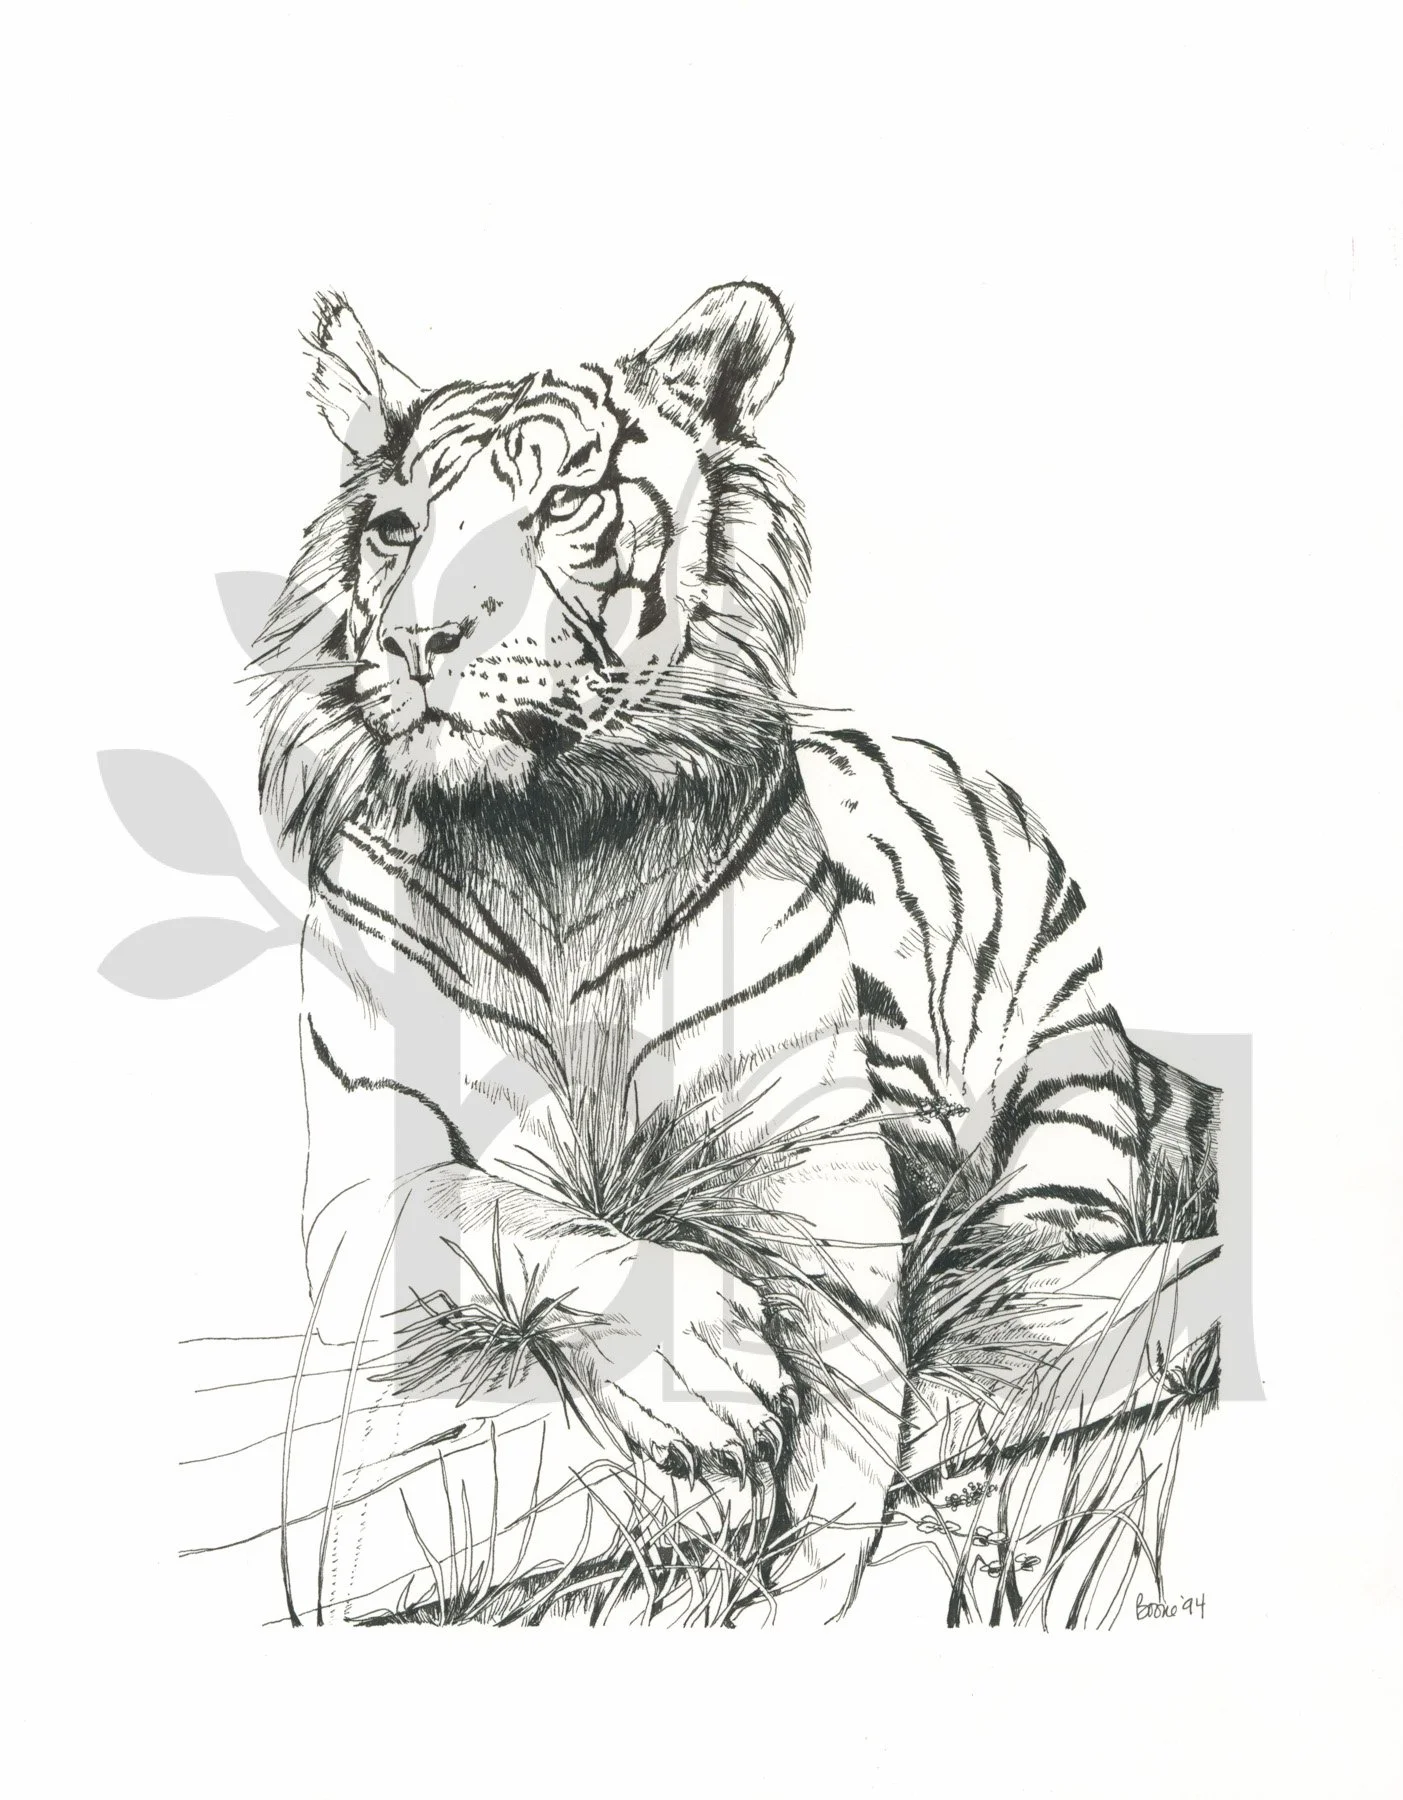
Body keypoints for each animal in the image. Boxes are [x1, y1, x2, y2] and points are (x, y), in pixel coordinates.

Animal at [252, 281, 1217, 1623]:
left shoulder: (813, 1179)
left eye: (561, 503)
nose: (416, 639)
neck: (553, 838)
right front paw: (704, 1376)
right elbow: (498, 1210)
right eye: (396, 526)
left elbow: (849, 1433)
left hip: (1053, 1022)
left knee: (1063, 1188)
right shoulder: (368, 1177)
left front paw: (795, 1586)